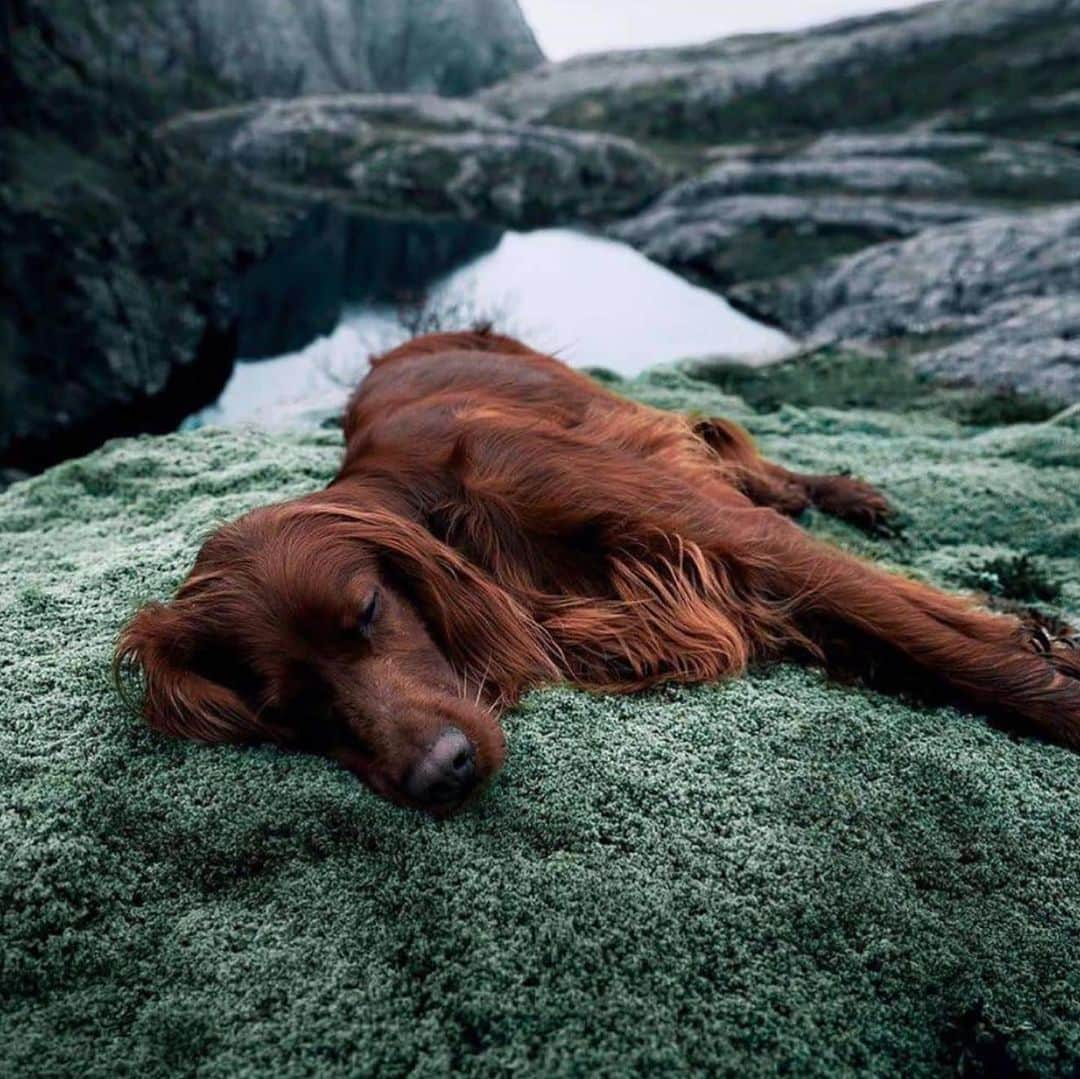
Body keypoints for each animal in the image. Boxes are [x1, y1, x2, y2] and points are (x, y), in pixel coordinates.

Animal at [118, 332, 1080, 812]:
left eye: (366, 612)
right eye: (292, 709)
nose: (441, 774)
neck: (449, 517)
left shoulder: (724, 533)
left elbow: (952, 646)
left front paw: (1046, 670)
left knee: (739, 458)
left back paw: (842, 491)